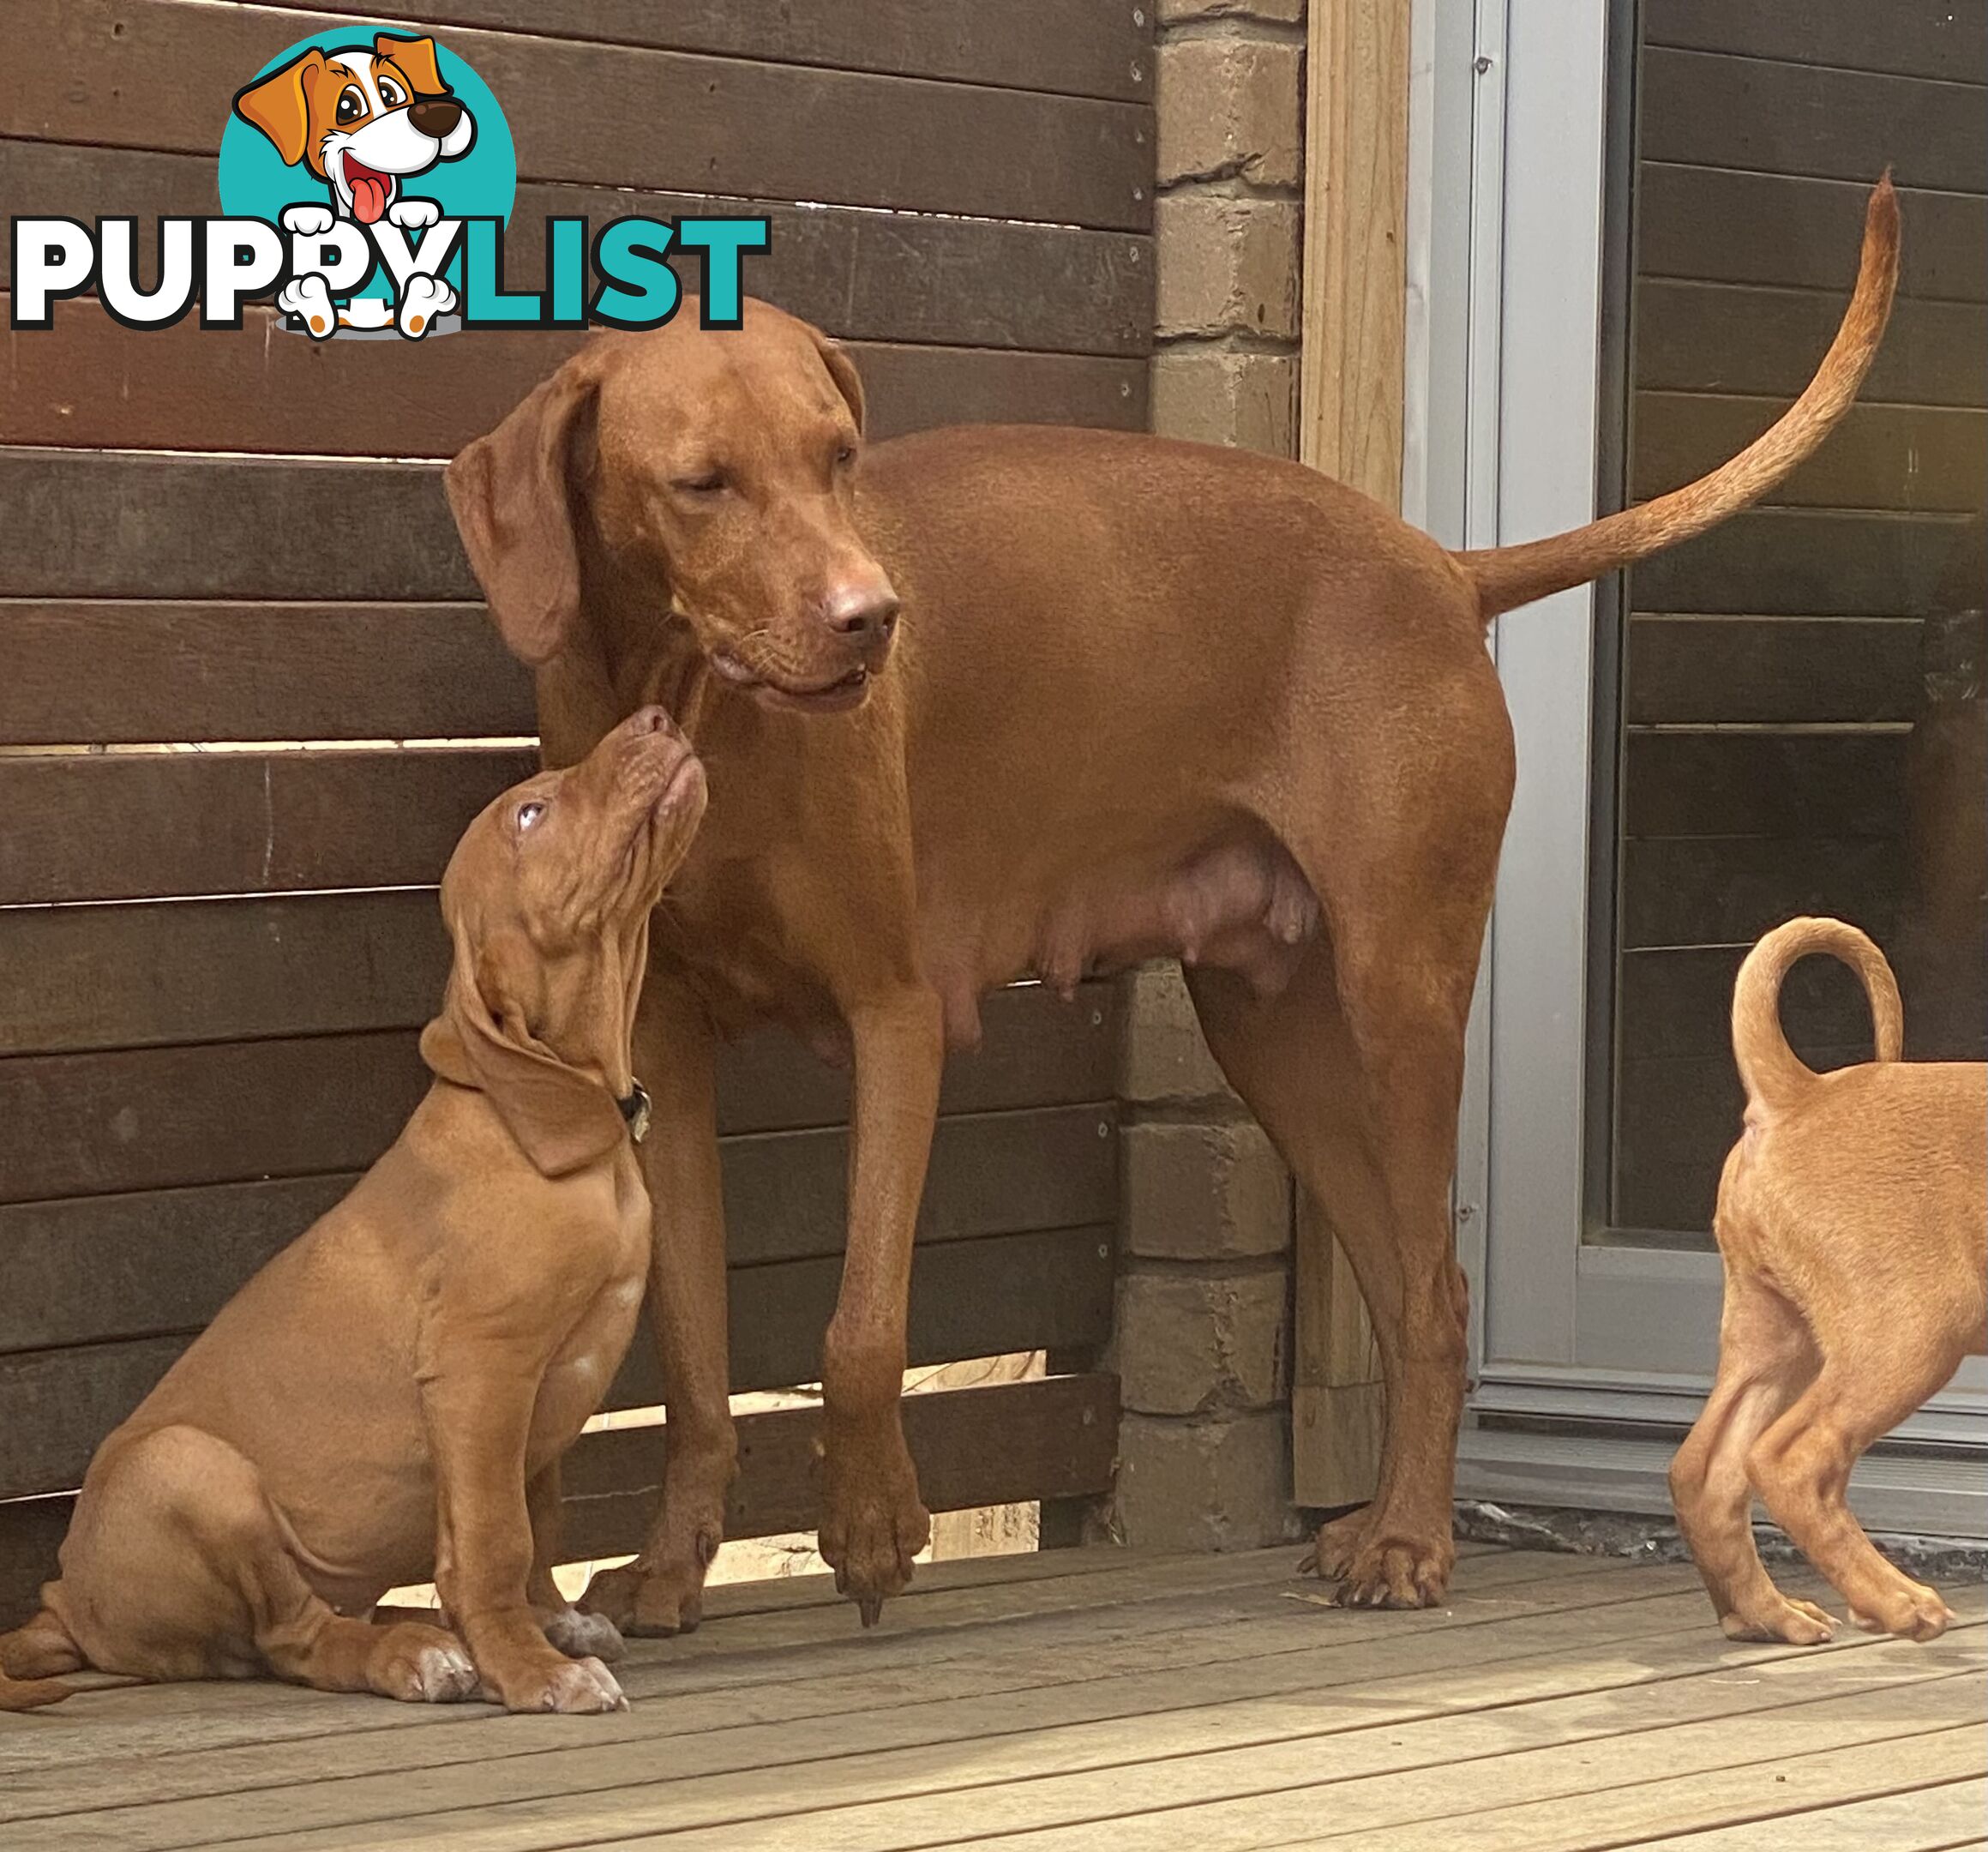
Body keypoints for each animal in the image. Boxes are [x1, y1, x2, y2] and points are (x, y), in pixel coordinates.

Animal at [0, 704, 712, 1711]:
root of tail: (68, 1605)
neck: (551, 1122)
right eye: (530, 814)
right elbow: (494, 1537)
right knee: (295, 1640)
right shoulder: (481, 1370)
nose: (654, 715)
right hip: (191, 1469)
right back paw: (411, 1654)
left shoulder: (536, 1405)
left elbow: (534, 1511)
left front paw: (546, 1619)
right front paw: (532, 1667)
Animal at [443, 174, 1900, 1623]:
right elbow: (692, 1355)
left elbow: (858, 1327)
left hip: (1396, 999)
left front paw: (869, 1526)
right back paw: (1381, 1518)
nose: (873, 618)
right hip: (1274, 1038)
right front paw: (672, 1562)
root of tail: (1440, 565)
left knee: (1435, 1292)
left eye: (839, 457)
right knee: (1399, 1285)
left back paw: (1408, 1539)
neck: (694, 704)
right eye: (700, 484)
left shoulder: (894, 1017)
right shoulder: (664, 1056)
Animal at [1669, 918, 1979, 1647]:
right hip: (1911, 1334)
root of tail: (1799, 1094)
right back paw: (1895, 1602)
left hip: (1776, 1335)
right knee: (1793, 1460)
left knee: (1706, 1470)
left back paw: (1766, 1615)